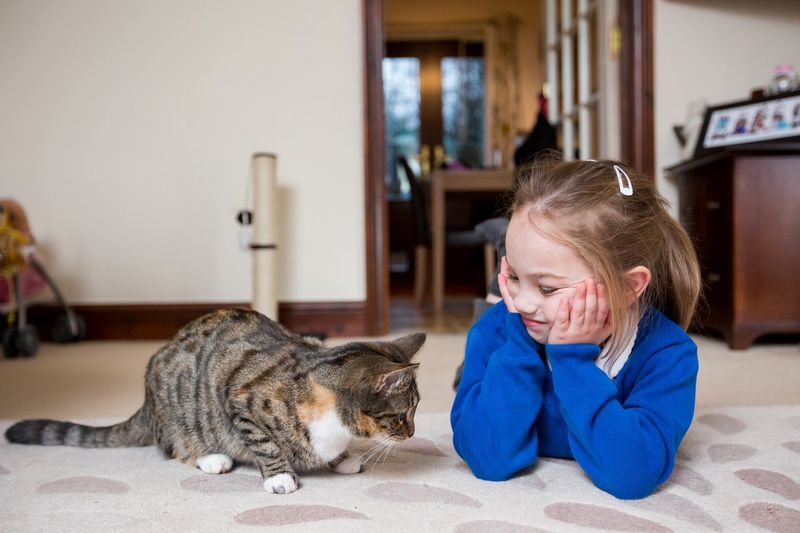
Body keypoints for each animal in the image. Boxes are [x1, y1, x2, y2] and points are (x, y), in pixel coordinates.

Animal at [4, 308, 424, 494]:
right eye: (403, 414)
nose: (412, 433)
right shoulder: (239, 400)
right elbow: (266, 443)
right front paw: (280, 476)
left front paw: (340, 458)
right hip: (179, 408)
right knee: (172, 447)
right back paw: (211, 458)